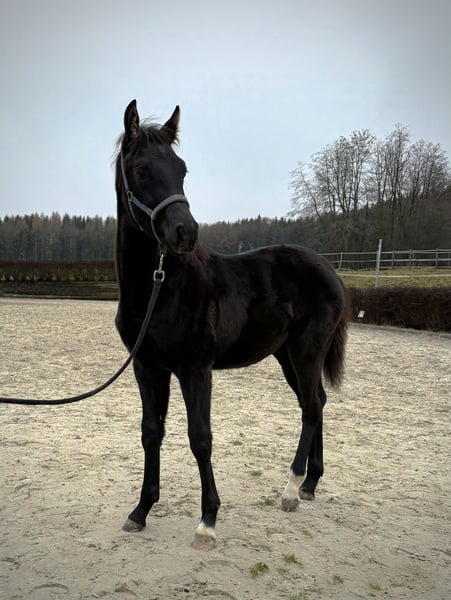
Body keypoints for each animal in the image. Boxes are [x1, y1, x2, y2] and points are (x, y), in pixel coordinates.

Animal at [115, 100, 348, 549]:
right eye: (141, 169)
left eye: (182, 169)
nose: (185, 232)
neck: (159, 289)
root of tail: (329, 269)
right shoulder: (148, 367)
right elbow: (151, 431)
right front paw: (140, 510)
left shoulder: (195, 370)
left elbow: (200, 438)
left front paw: (207, 521)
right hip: (286, 356)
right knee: (316, 402)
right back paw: (311, 484)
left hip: (306, 350)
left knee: (312, 408)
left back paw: (291, 490)